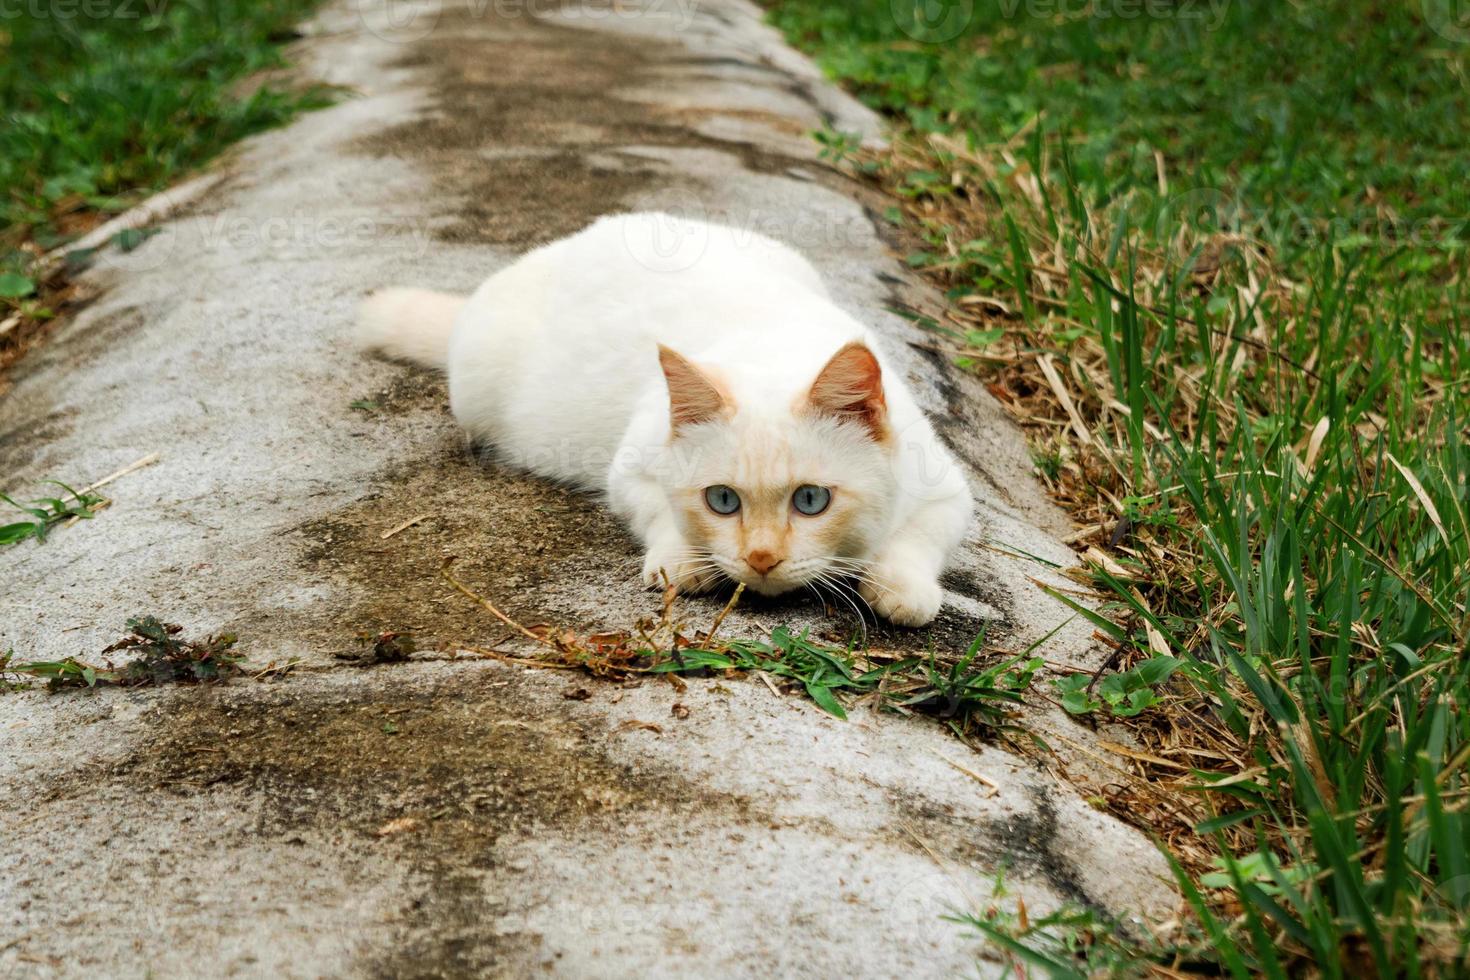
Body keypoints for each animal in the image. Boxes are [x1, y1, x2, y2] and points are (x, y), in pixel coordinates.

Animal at [355, 215, 970, 628]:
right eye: (722, 501)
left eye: (811, 500)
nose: (761, 558)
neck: (777, 354)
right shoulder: (629, 471)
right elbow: (658, 514)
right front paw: (682, 561)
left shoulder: (947, 488)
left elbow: (919, 538)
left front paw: (902, 588)